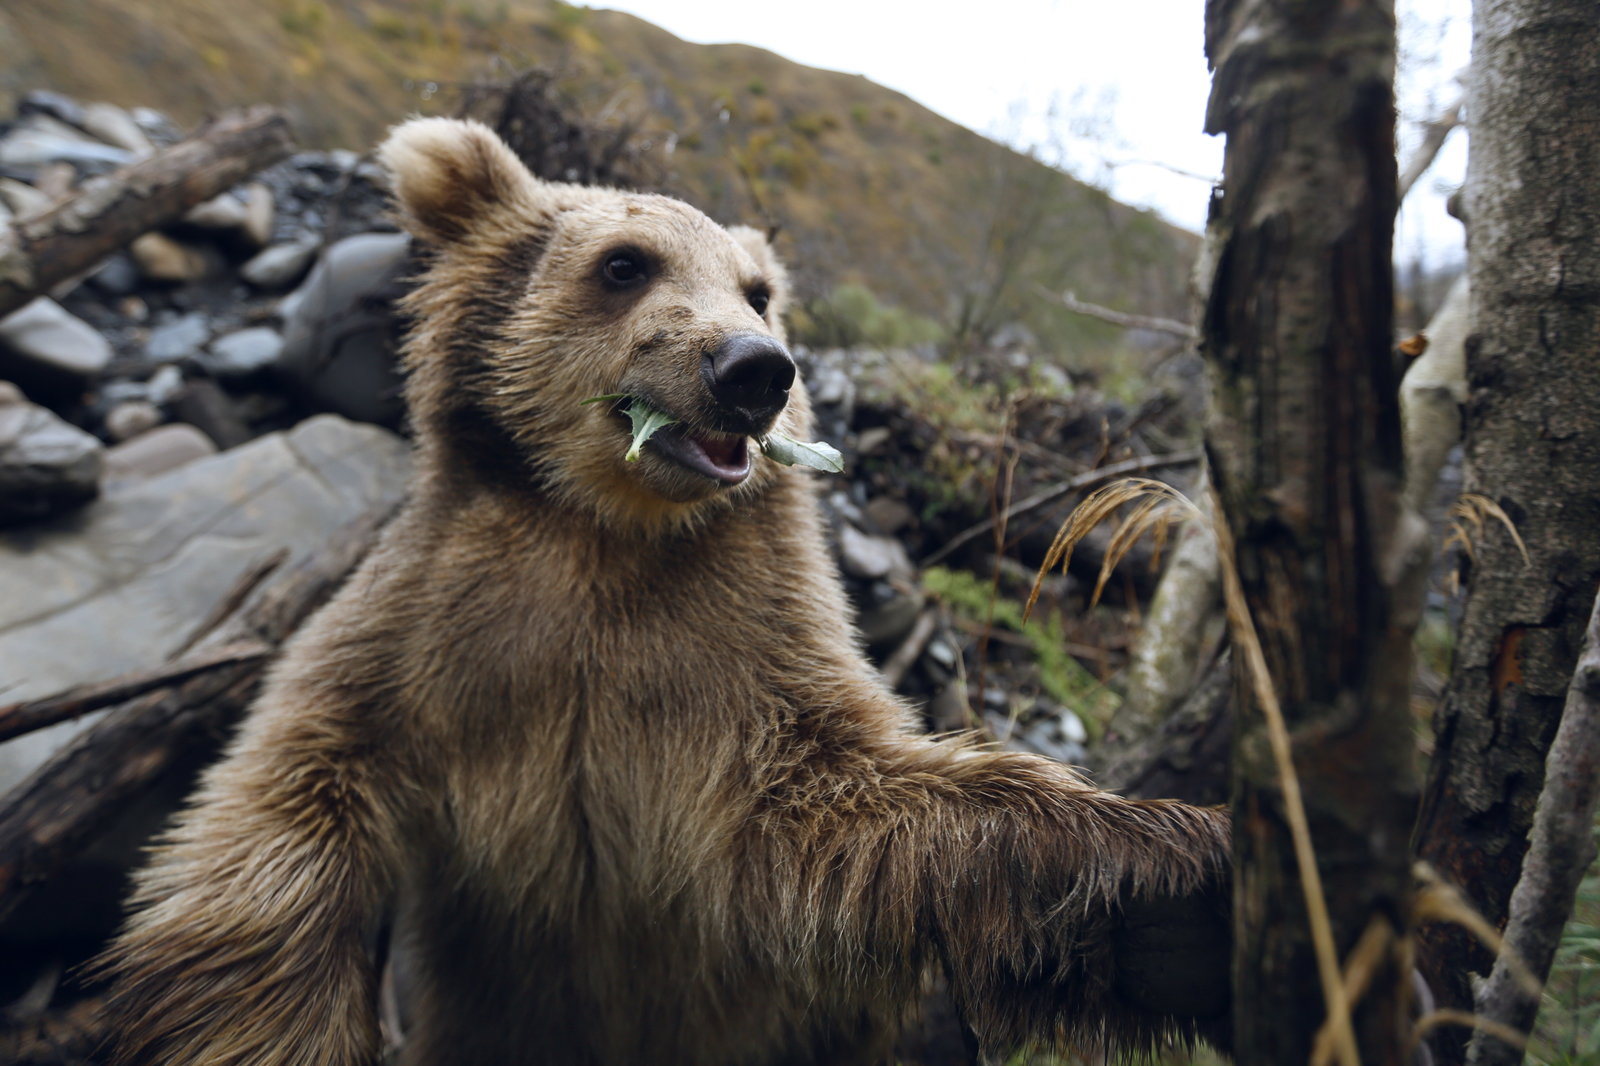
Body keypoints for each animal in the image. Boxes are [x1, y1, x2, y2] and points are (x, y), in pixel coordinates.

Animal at [100, 118, 1228, 1062]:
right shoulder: (437, 626)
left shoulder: (735, 658)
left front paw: (1174, 864)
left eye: (757, 289)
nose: (753, 369)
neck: (611, 534)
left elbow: (857, 810)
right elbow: (280, 814)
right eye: (624, 263)